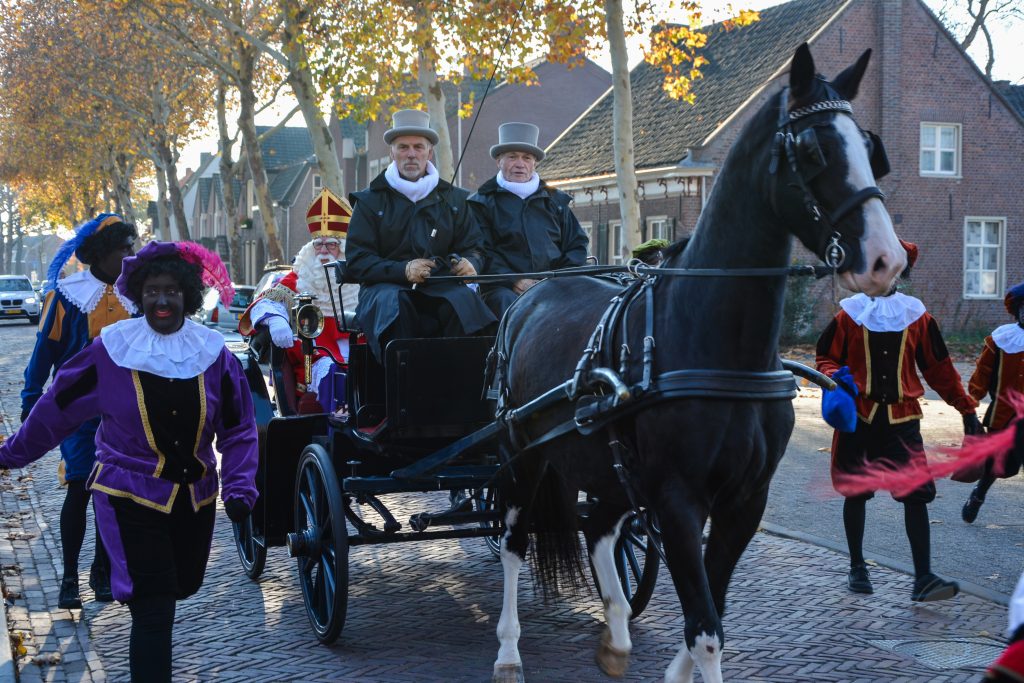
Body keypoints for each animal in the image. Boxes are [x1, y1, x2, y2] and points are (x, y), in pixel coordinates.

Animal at [491, 44, 909, 683]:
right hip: (524, 456)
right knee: (515, 544)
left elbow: (712, 609)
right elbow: (706, 629)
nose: (887, 259)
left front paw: (669, 670)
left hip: (606, 466)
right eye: (815, 149)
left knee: (601, 530)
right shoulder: (679, 501)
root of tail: (530, 293)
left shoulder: (744, 502)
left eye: (870, 148)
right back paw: (509, 652)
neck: (717, 344)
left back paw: (616, 635)